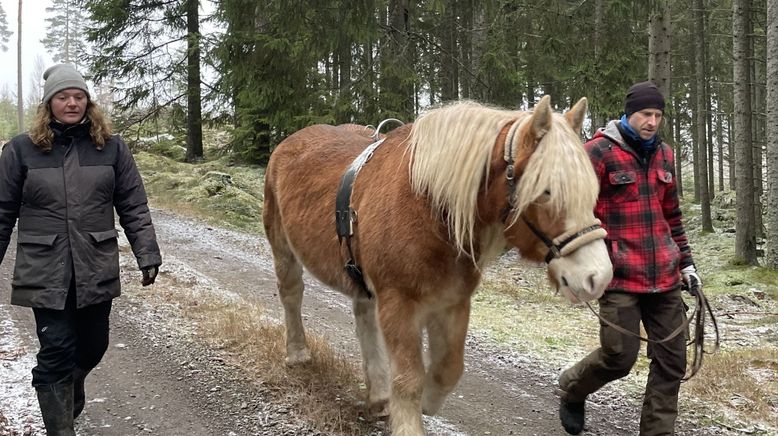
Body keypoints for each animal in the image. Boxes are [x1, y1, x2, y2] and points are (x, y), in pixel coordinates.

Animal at [262, 96, 612, 436]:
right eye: (547, 191)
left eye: (591, 189)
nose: (598, 276)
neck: (429, 209)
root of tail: (289, 141)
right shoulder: (399, 303)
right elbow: (408, 378)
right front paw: (409, 423)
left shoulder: (452, 302)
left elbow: (448, 369)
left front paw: (428, 401)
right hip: (283, 248)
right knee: (291, 294)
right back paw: (298, 353)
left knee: (364, 316)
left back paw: (378, 394)